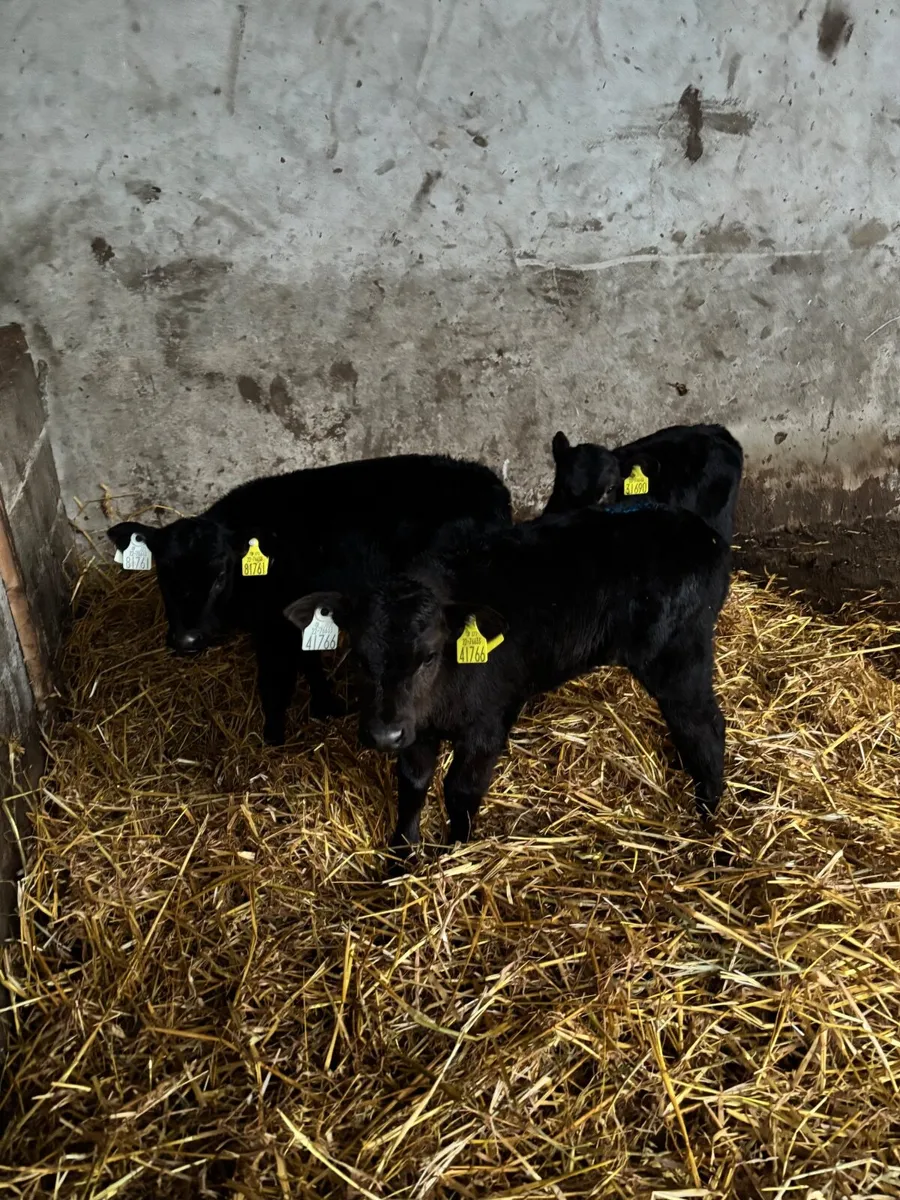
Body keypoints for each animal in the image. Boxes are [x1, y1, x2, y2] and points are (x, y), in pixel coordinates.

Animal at [107, 455, 512, 745]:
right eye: (163, 572)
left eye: (221, 574)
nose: (187, 639)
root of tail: (490, 481)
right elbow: (310, 662)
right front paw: (326, 705)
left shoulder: (274, 628)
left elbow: (276, 681)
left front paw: (273, 736)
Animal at [283, 501, 731, 858]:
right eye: (358, 656)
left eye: (428, 656)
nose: (383, 735)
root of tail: (701, 532)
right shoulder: (416, 728)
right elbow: (413, 784)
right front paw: (402, 853)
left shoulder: (489, 723)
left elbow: (460, 789)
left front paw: (455, 851)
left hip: (678, 655)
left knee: (704, 725)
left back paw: (707, 813)